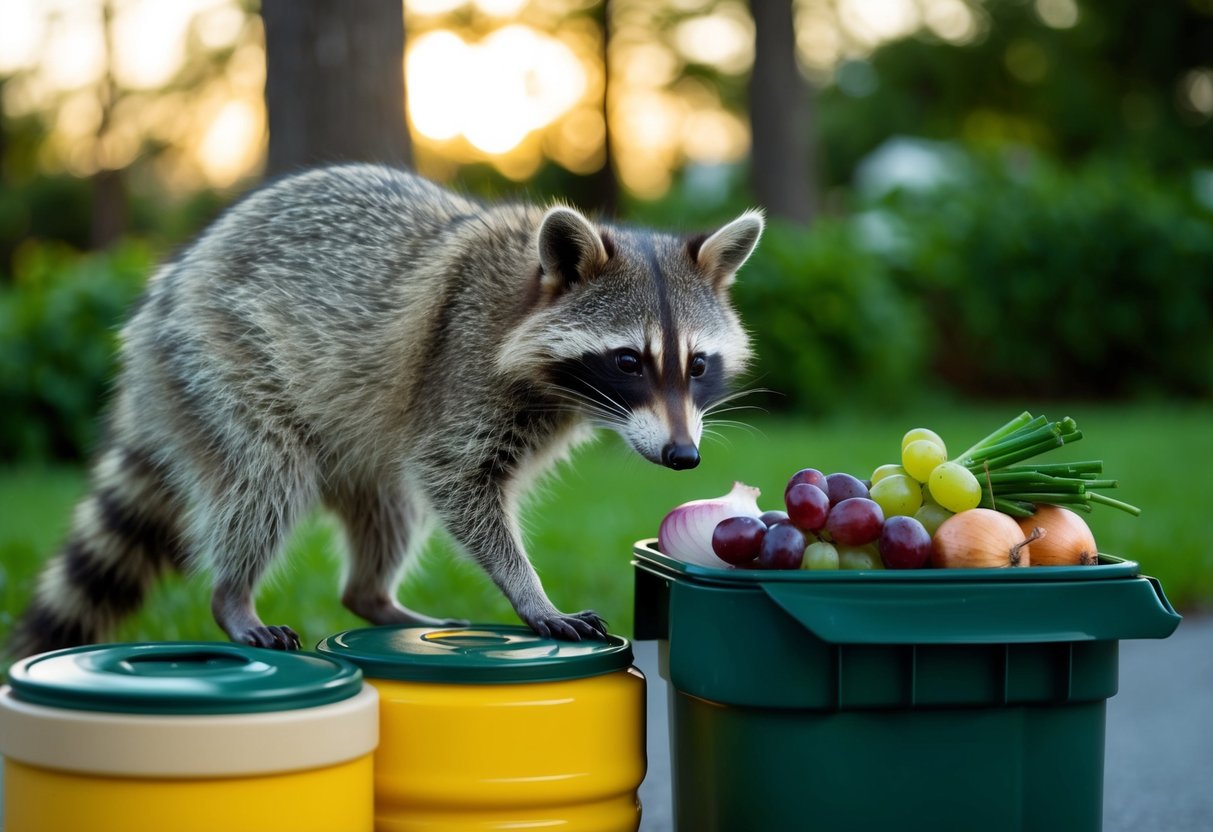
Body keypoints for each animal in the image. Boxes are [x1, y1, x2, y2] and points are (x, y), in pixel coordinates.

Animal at [8, 164, 763, 656]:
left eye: (697, 365)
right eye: (629, 362)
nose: (683, 456)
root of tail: (165, 291)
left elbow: (446, 488)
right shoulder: (461, 365)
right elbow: (456, 480)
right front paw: (529, 592)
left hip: (349, 434)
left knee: (390, 505)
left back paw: (374, 598)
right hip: (216, 358)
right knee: (267, 478)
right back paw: (233, 595)